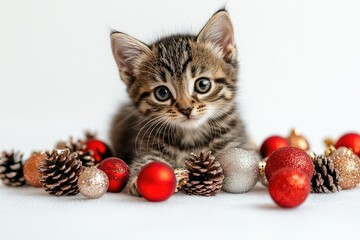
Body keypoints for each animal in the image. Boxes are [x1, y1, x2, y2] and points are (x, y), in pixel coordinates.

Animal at [109, 9, 253, 197]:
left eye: (203, 85)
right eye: (162, 93)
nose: (186, 109)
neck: (191, 138)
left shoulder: (238, 142)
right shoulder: (147, 145)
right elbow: (148, 159)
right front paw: (138, 177)